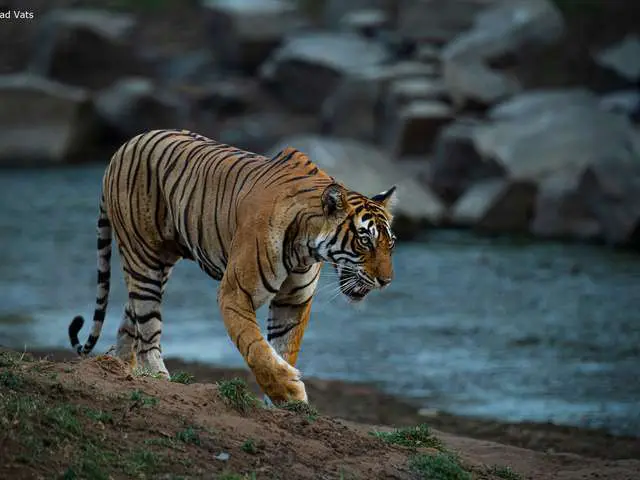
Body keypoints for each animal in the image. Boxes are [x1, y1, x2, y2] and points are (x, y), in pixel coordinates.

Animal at [68, 129, 397, 404]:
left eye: (390, 243)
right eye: (365, 241)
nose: (387, 281)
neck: (307, 247)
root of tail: (123, 147)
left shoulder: (294, 301)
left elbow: (284, 348)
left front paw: (282, 404)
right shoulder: (236, 292)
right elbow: (256, 347)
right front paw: (289, 391)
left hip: (160, 264)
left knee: (131, 314)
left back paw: (120, 368)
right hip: (144, 256)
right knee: (147, 324)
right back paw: (156, 376)